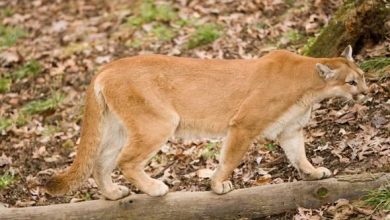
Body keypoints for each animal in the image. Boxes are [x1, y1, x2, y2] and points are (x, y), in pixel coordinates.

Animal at [46, 45, 368, 200]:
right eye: (351, 82)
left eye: (362, 76)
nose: (366, 91)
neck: (308, 87)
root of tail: (107, 68)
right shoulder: (244, 125)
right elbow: (230, 158)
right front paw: (217, 185)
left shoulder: (291, 129)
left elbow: (299, 155)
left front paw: (313, 173)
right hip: (159, 123)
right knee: (126, 161)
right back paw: (154, 189)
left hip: (118, 128)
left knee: (100, 163)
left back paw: (113, 195)